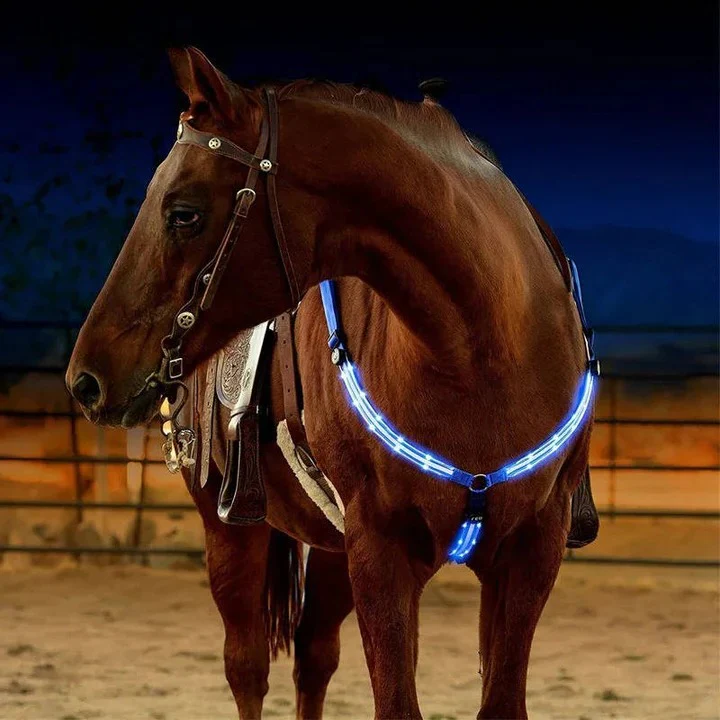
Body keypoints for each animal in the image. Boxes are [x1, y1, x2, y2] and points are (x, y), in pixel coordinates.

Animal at [67, 47, 596, 719]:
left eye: (183, 213)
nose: (86, 380)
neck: (481, 351)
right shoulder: (380, 550)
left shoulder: (531, 550)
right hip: (233, 530)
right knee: (247, 667)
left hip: (332, 552)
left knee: (314, 657)